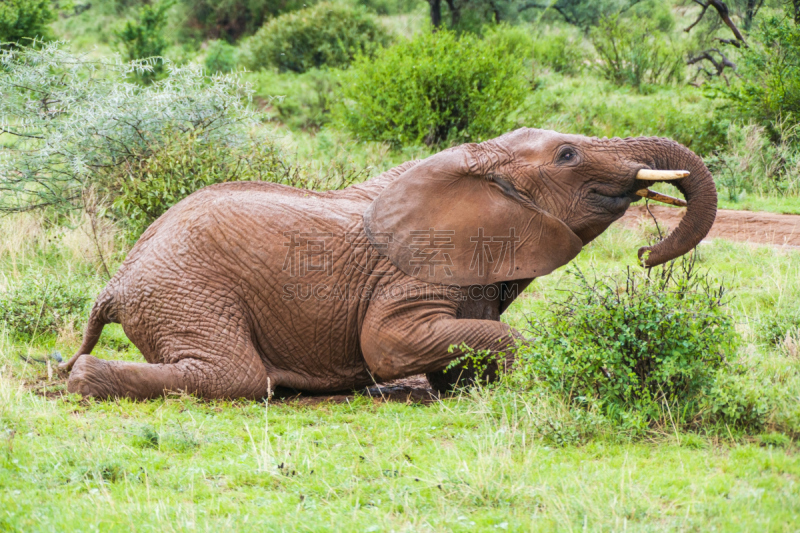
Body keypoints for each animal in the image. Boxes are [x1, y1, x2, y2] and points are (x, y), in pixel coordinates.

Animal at [59, 129, 716, 400]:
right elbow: (388, 345)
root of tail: (116, 281)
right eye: (569, 155)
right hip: (186, 291)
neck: (472, 160)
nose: (646, 254)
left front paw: (465, 385)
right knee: (239, 378)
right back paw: (84, 380)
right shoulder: (412, 270)